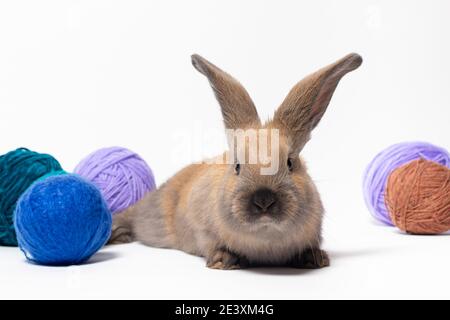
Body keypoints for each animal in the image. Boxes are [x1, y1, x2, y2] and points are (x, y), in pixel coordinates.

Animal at [108, 53, 362, 270]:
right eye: (237, 166)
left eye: (290, 163)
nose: (263, 200)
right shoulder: (202, 230)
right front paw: (224, 260)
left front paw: (315, 258)